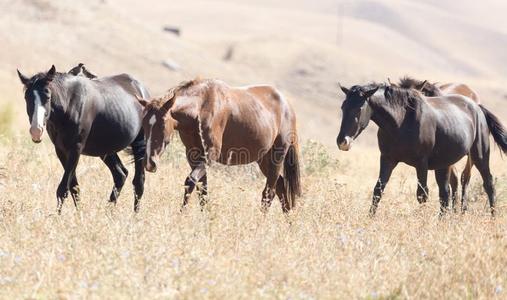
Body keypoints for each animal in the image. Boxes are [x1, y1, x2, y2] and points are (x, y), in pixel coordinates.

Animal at [16, 65, 151, 213]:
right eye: (26, 97)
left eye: (48, 96)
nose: (36, 130)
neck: (69, 105)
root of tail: (141, 89)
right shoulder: (61, 151)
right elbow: (73, 188)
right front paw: (79, 215)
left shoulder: (76, 149)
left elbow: (63, 189)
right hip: (105, 150)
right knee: (120, 174)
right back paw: (108, 213)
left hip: (140, 144)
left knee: (138, 182)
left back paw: (134, 216)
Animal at [136, 78, 302, 212]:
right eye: (144, 124)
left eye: (163, 124)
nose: (150, 163)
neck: (202, 106)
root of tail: (288, 106)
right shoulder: (194, 157)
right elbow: (202, 190)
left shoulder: (210, 156)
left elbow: (190, 181)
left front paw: (181, 215)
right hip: (264, 161)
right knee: (281, 188)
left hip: (276, 157)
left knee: (269, 193)